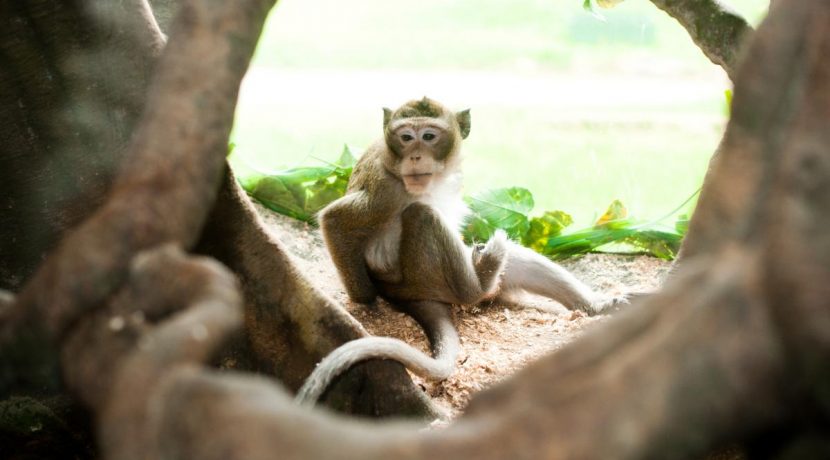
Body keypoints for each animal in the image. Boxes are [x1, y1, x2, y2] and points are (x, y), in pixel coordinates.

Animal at [296, 97, 620, 406]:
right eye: (405, 137)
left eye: (428, 136)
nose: (415, 155)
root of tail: (404, 293)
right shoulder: (386, 191)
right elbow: (335, 221)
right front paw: (366, 299)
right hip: (423, 278)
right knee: (422, 215)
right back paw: (479, 284)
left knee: (513, 259)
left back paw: (596, 305)